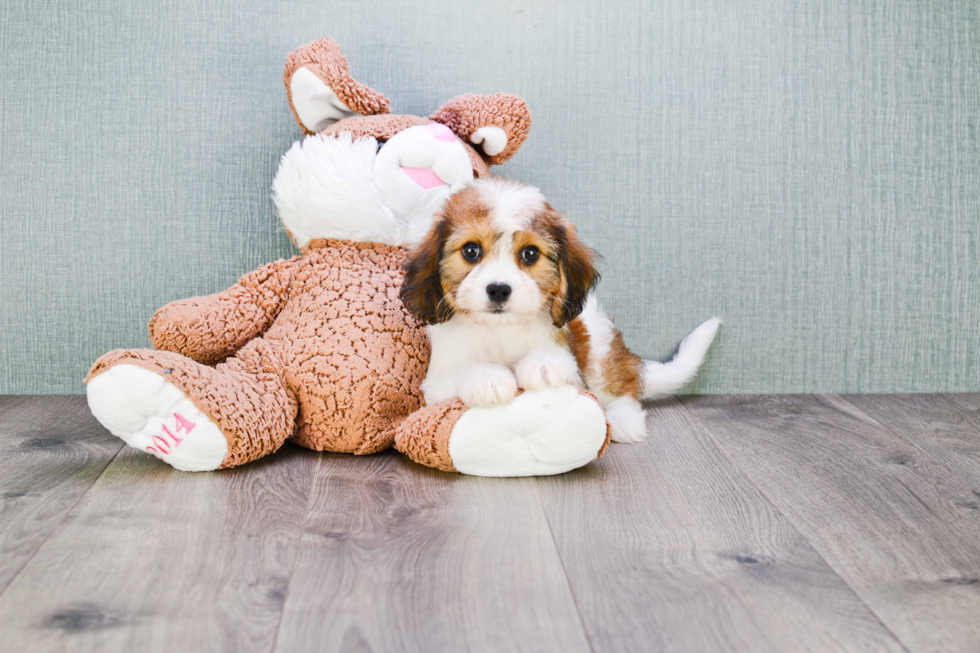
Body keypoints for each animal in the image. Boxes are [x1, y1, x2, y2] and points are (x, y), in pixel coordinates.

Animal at [398, 178, 720, 444]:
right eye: (470, 251)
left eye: (530, 253)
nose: (499, 289)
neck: (500, 330)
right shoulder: (436, 383)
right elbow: (460, 372)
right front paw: (487, 377)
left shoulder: (571, 361)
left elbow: (556, 362)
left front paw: (542, 365)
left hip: (600, 346)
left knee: (620, 385)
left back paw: (624, 420)